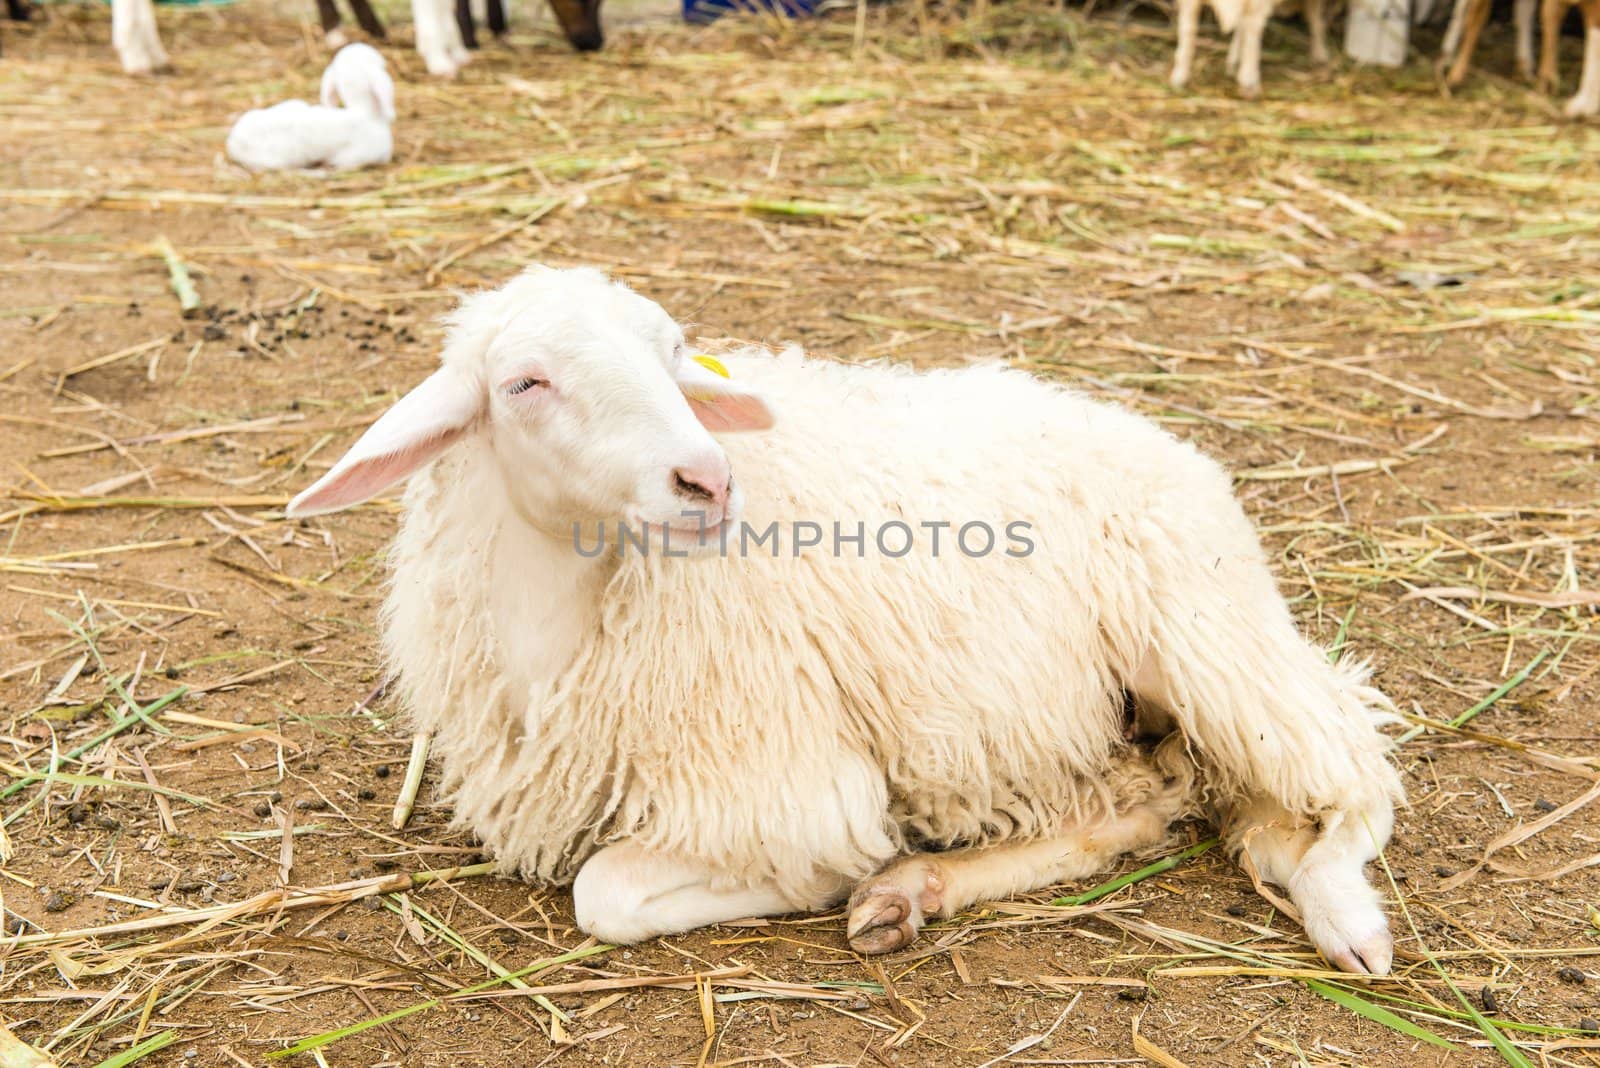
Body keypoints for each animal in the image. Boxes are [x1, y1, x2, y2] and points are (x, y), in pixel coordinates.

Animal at [288, 265, 1401, 978]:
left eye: (675, 353)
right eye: (525, 383)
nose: (709, 479)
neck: (566, 615)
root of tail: (1169, 442)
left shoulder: (796, 781)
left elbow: (609, 893)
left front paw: (829, 877)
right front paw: (878, 882)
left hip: (1211, 643)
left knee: (1349, 773)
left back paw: (1345, 913)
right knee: (1144, 803)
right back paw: (917, 891)